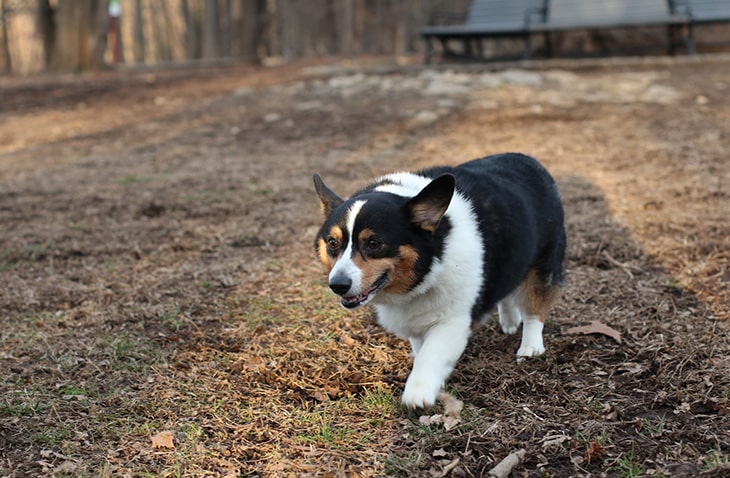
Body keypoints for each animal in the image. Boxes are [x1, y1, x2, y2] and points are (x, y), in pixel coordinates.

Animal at [310, 153, 564, 408]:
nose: (338, 285)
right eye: (332, 242)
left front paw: (418, 393)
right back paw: (510, 321)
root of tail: (527, 159)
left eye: (374, 243)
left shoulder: (454, 320)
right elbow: (421, 348)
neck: (432, 259)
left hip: (544, 263)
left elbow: (431, 354)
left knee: (535, 307)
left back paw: (530, 347)